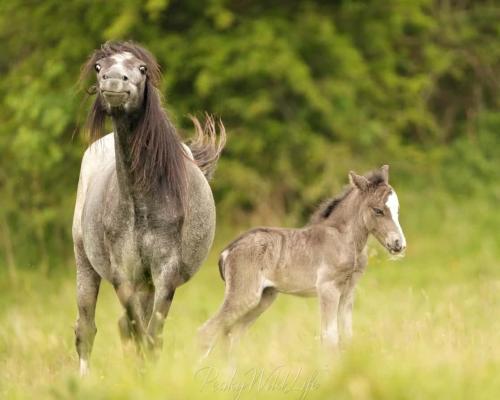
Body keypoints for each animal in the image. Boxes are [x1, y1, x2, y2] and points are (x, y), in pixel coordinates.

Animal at [199, 164, 406, 354]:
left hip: (263, 298)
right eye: (378, 210)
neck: (345, 239)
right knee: (207, 332)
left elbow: (346, 337)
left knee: (233, 336)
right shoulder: (328, 288)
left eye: (397, 209)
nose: (399, 244)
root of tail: (227, 250)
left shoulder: (348, 291)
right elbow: (330, 338)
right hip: (244, 295)